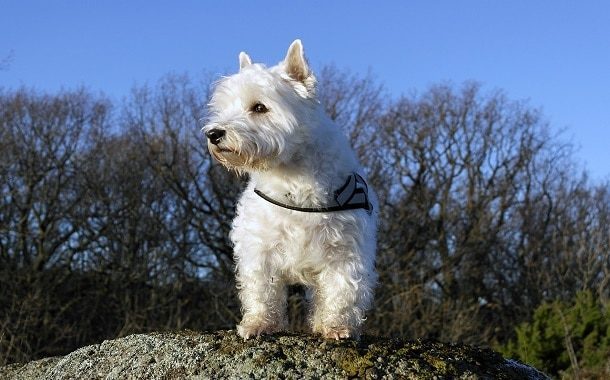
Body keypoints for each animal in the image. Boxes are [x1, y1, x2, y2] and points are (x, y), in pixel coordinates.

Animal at [202, 39, 378, 342]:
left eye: (259, 107)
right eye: (224, 107)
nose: (214, 134)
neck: (292, 177)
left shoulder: (344, 251)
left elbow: (341, 291)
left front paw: (336, 326)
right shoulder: (260, 249)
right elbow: (262, 291)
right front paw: (258, 324)